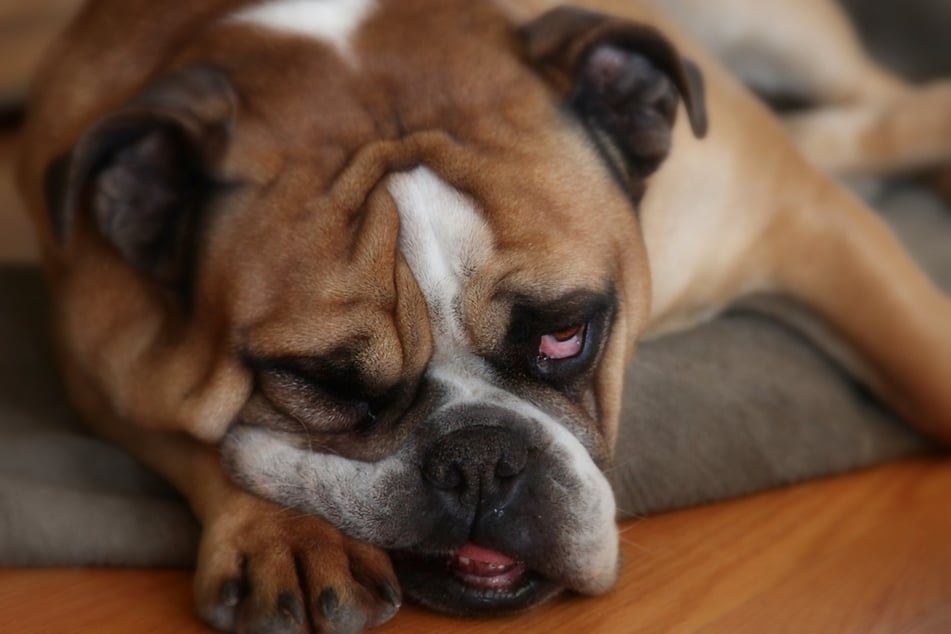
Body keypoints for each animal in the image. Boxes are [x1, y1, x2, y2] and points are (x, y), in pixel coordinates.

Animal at [13, 1, 951, 632]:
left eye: (566, 333)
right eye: (318, 382)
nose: (478, 459)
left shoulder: (807, 228)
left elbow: (925, 361)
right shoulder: (95, 361)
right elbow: (199, 441)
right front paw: (283, 536)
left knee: (881, 101)